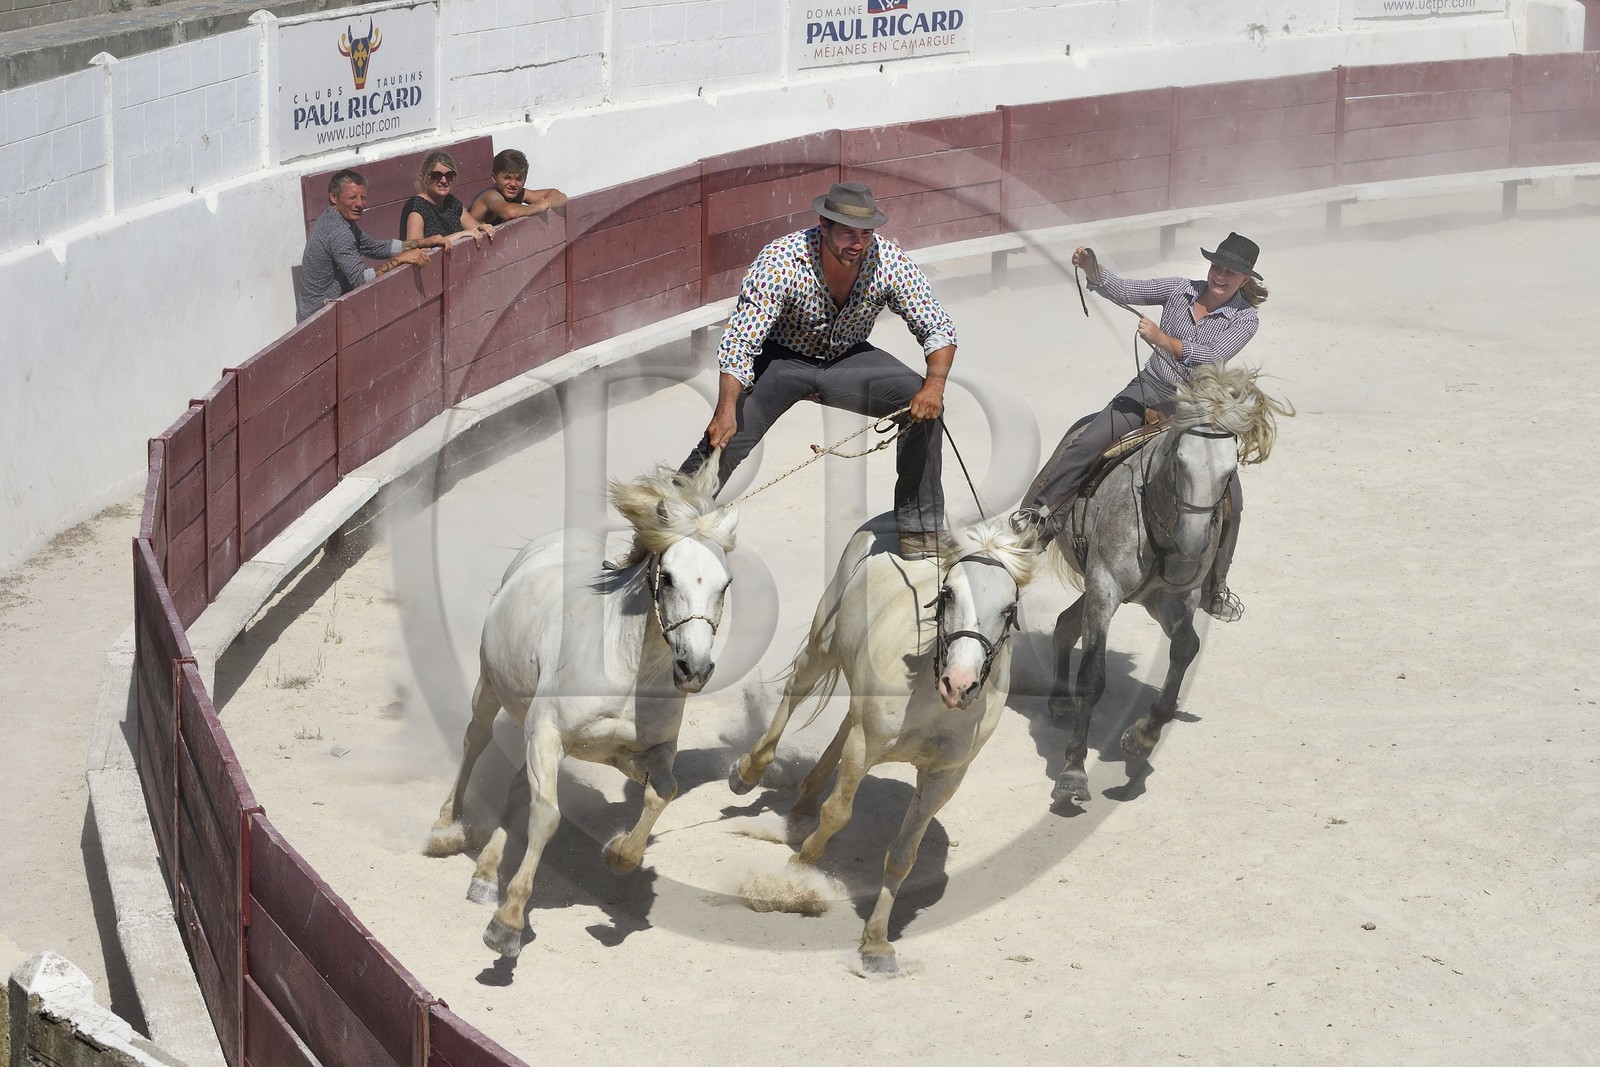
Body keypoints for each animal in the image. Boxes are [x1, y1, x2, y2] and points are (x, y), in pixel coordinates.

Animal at [425, 459, 738, 957]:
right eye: (668, 577)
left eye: (725, 584)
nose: (694, 669)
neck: (626, 669)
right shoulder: (548, 735)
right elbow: (547, 816)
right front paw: (508, 925)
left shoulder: (636, 754)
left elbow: (663, 793)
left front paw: (618, 855)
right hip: (490, 686)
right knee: (476, 741)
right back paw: (445, 830)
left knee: (518, 786)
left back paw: (486, 874)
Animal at [729, 515, 1038, 974]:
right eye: (947, 593)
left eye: (1009, 609)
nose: (959, 684)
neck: (931, 696)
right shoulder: (864, 749)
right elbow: (838, 814)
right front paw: (798, 873)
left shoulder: (944, 780)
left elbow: (903, 856)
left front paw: (876, 943)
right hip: (824, 645)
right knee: (796, 692)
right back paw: (750, 771)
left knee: (843, 723)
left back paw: (803, 803)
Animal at [1040, 363, 1290, 807]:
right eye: (1180, 460)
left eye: (1230, 471)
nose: (1189, 547)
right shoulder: (1104, 586)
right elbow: (1093, 675)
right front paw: (1073, 773)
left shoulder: (1172, 598)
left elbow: (1186, 648)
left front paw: (1141, 737)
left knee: (1065, 624)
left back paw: (1059, 703)